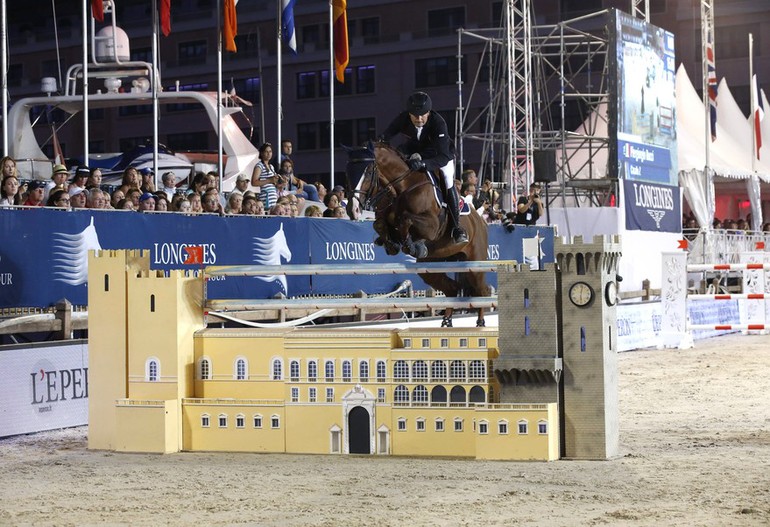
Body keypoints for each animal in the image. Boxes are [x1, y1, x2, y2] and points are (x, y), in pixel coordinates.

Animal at [346, 142, 488, 328]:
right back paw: (446, 322)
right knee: (452, 288)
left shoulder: (432, 227)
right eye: (348, 171)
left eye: (369, 172)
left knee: (481, 290)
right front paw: (393, 244)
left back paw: (480, 323)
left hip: (474, 262)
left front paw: (411, 245)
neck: (401, 189)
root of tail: (481, 220)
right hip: (430, 266)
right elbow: (380, 224)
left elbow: (405, 219)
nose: (353, 209)